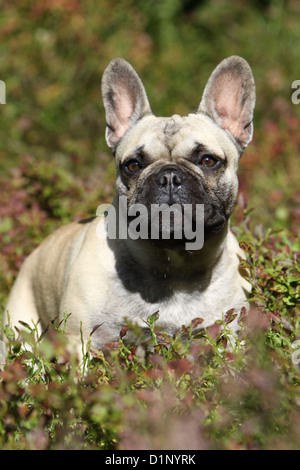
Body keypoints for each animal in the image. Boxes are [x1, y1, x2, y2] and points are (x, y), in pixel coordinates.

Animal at [2, 55, 255, 352]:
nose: (169, 177)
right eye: (133, 165)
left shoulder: (229, 338)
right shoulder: (79, 340)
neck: (174, 265)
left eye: (207, 160)